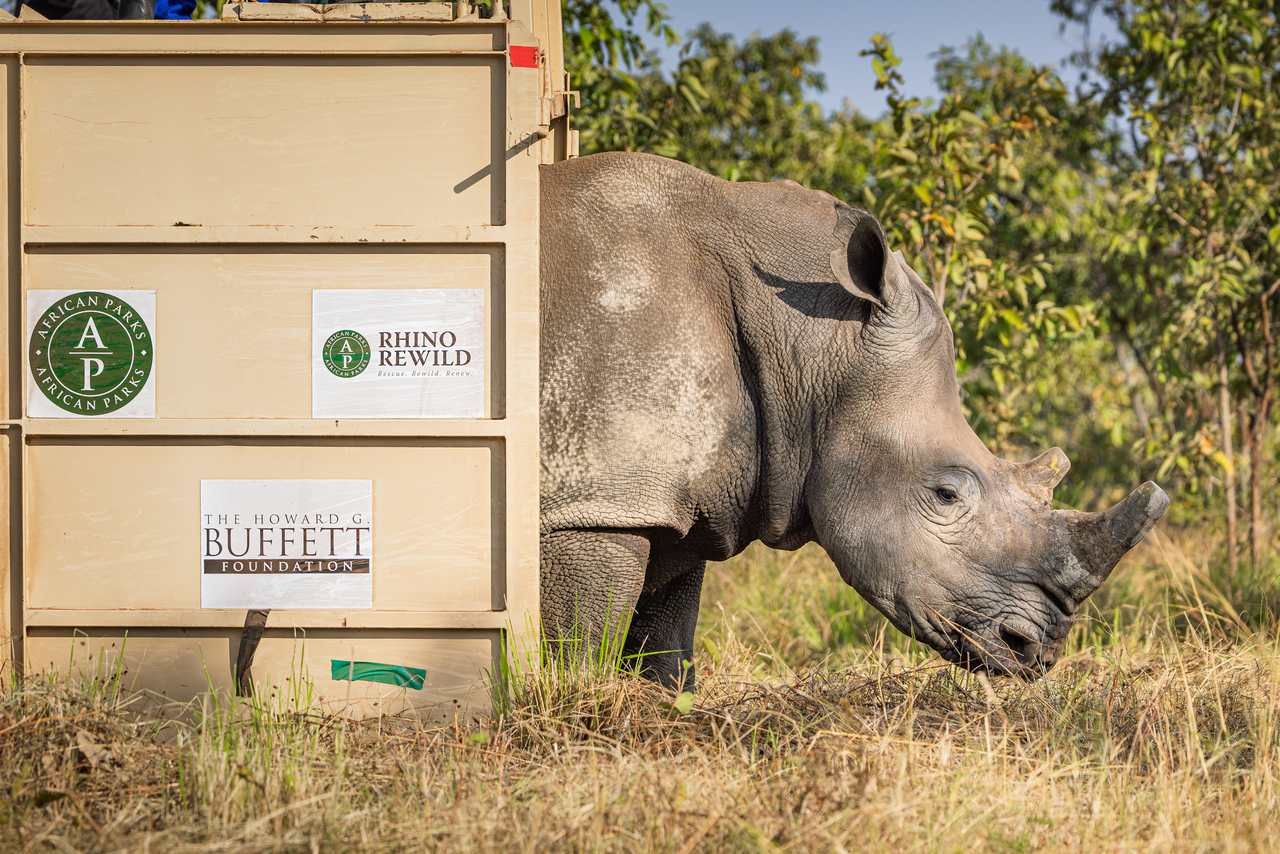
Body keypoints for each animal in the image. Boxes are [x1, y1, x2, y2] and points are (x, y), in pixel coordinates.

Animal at [539, 152, 1168, 687]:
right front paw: (573, 713)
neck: (812, 337)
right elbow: (577, 648)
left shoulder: (680, 500)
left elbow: (666, 644)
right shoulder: (597, 501)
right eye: (945, 495)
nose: (1035, 652)